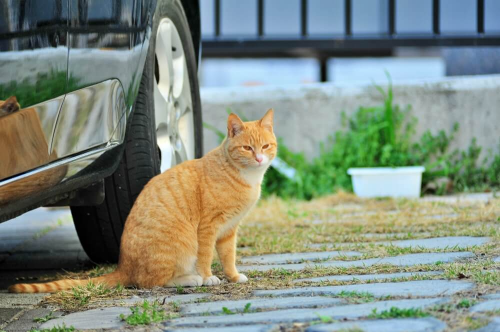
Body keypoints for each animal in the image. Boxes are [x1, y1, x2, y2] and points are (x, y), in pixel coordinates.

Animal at [7, 107, 276, 292]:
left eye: (265, 146)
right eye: (247, 148)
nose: (259, 158)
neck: (244, 176)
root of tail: (123, 266)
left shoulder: (229, 230)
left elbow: (229, 257)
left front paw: (233, 276)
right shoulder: (208, 228)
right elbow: (205, 256)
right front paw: (208, 275)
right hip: (181, 245)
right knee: (151, 282)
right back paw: (192, 279)